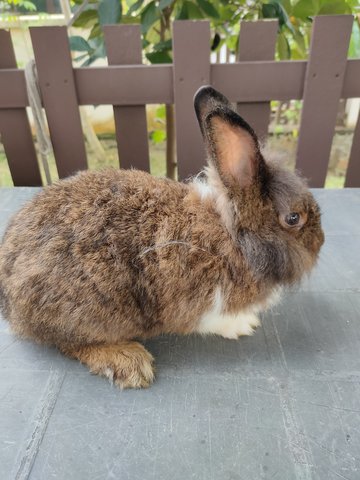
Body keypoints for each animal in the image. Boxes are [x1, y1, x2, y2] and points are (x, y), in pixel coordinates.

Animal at [0, 85, 324, 386]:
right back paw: (129, 361)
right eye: (294, 218)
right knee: (69, 343)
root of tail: (9, 301)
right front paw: (243, 325)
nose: (320, 242)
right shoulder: (205, 305)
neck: (233, 236)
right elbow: (211, 321)